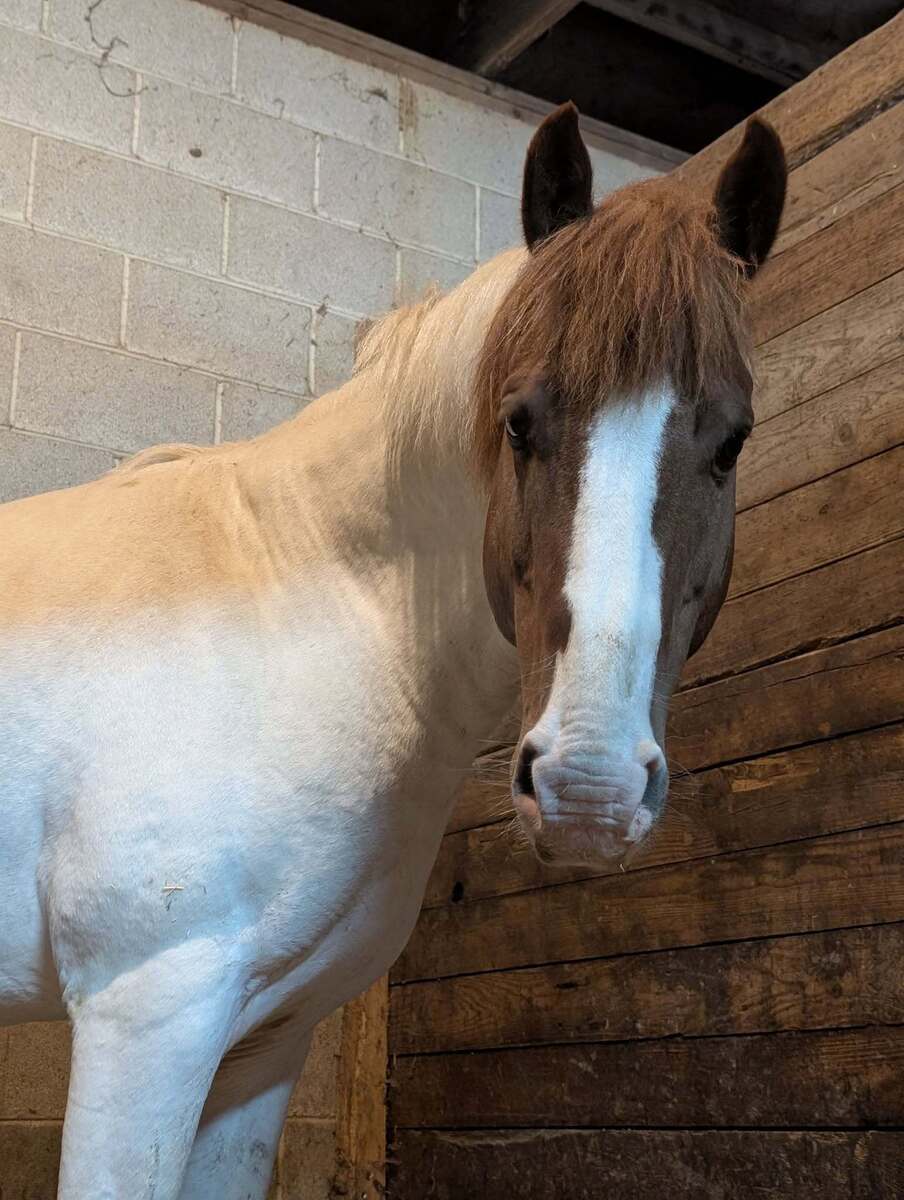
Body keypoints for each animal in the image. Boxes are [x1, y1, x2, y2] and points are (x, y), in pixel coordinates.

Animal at [0, 102, 785, 1198]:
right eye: (519, 423)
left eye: (731, 441)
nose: (588, 790)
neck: (291, 601)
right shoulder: (146, 1013)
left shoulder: (263, 1041)